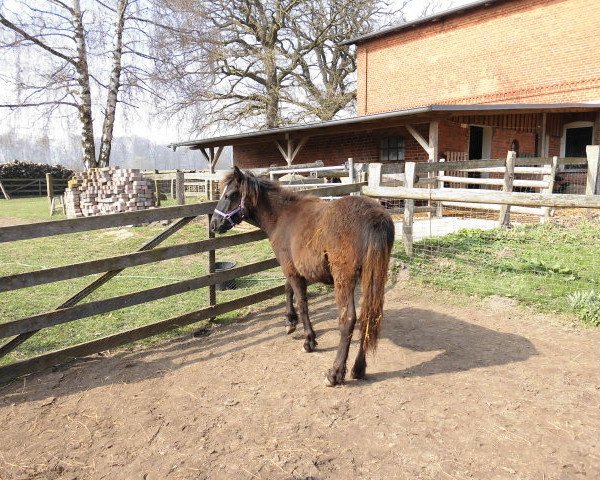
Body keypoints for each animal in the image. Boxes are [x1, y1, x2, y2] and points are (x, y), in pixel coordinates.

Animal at [211, 166, 394, 386]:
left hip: (344, 280)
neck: (283, 215)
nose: (214, 224)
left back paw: (335, 372)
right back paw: (359, 368)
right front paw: (290, 321)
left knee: (348, 319)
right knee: (369, 317)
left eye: (230, 195)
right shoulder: (295, 269)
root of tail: (374, 217)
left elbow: (302, 303)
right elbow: (287, 288)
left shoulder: (291, 269)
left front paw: (309, 340)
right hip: (371, 278)